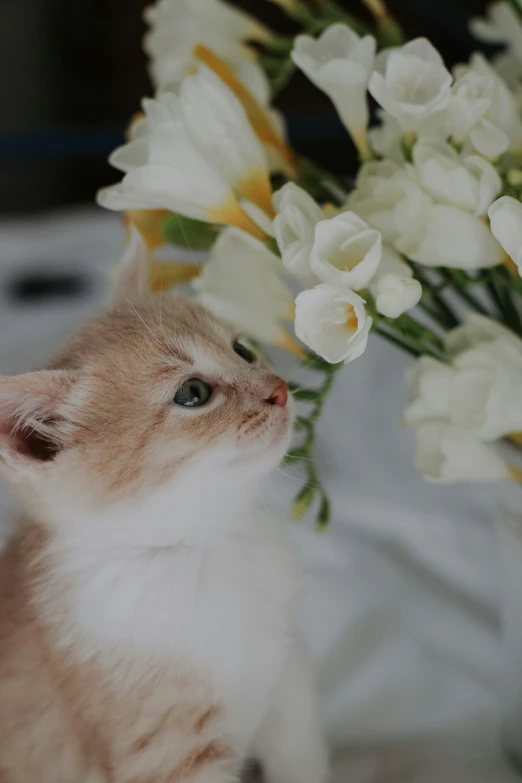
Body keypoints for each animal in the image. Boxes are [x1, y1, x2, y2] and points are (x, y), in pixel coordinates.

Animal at [0, 236, 328, 780]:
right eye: (192, 393)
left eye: (242, 349)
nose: (279, 390)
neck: (204, 546)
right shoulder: (168, 753)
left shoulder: (289, 680)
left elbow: (302, 760)